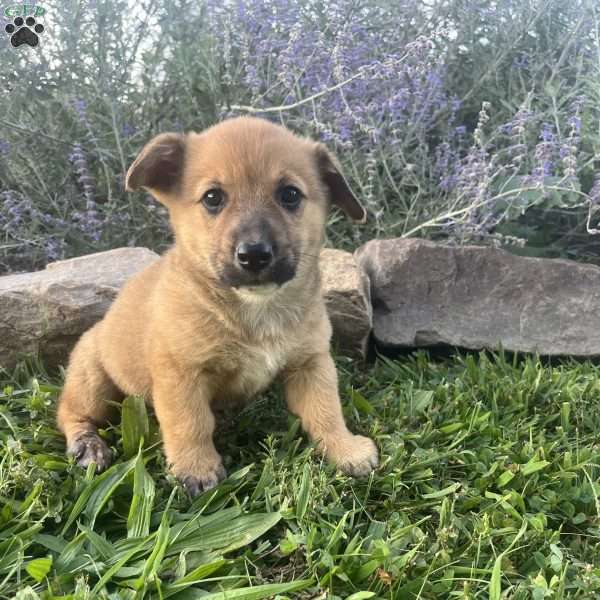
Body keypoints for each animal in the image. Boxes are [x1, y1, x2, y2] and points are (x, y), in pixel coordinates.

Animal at [55, 117, 376, 496]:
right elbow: (190, 423)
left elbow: (326, 411)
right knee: (69, 413)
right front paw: (196, 468)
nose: (254, 255)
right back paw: (88, 445)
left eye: (290, 195)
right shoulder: (181, 375)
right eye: (212, 198)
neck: (256, 308)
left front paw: (346, 449)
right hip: (92, 379)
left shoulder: (311, 364)